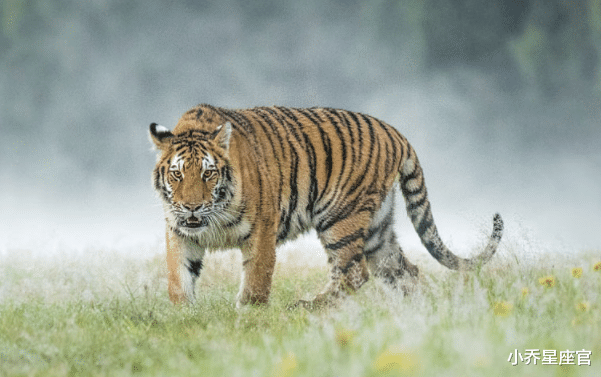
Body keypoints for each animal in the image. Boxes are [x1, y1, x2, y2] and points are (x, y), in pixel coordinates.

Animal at [149, 104, 502, 306]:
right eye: (177, 174)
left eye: (208, 173)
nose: (192, 207)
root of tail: (396, 133)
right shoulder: (178, 232)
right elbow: (179, 279)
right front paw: (184, 317)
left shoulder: (262, 230)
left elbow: (256, 282)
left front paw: (248, 317)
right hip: (377, 230)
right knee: (404, 271)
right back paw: (423, 312)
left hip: (340, 217)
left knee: (354, 273)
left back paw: (309, 306)